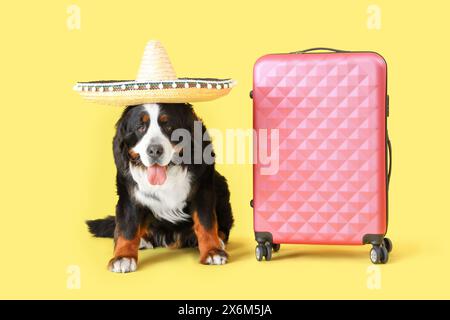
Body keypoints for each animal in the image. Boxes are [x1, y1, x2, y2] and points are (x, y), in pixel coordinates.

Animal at [88, 104, 236, 274]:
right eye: (140, 127)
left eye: (168, 126)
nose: (154, 150)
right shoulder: (129, 194)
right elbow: (127, 228)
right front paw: (123, 257)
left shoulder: (202, 189)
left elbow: (206, 223)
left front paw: (212, 251)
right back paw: (142, 240)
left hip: (221, 184)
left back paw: (217, 241)